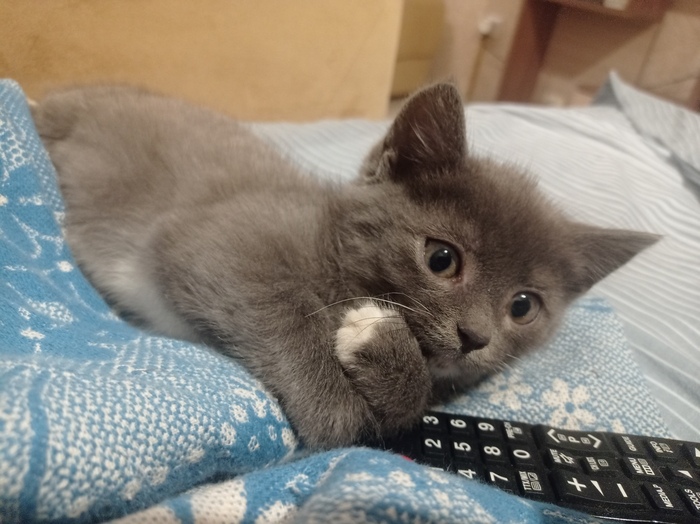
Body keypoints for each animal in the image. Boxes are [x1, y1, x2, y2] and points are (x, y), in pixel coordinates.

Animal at [32, 83, 658, 449]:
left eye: (523, 307)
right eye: (441, 259)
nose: (475, 336)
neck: (331, 245)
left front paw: (384, 358)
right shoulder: (218, 235)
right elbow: (281, 307)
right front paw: (335, 407)